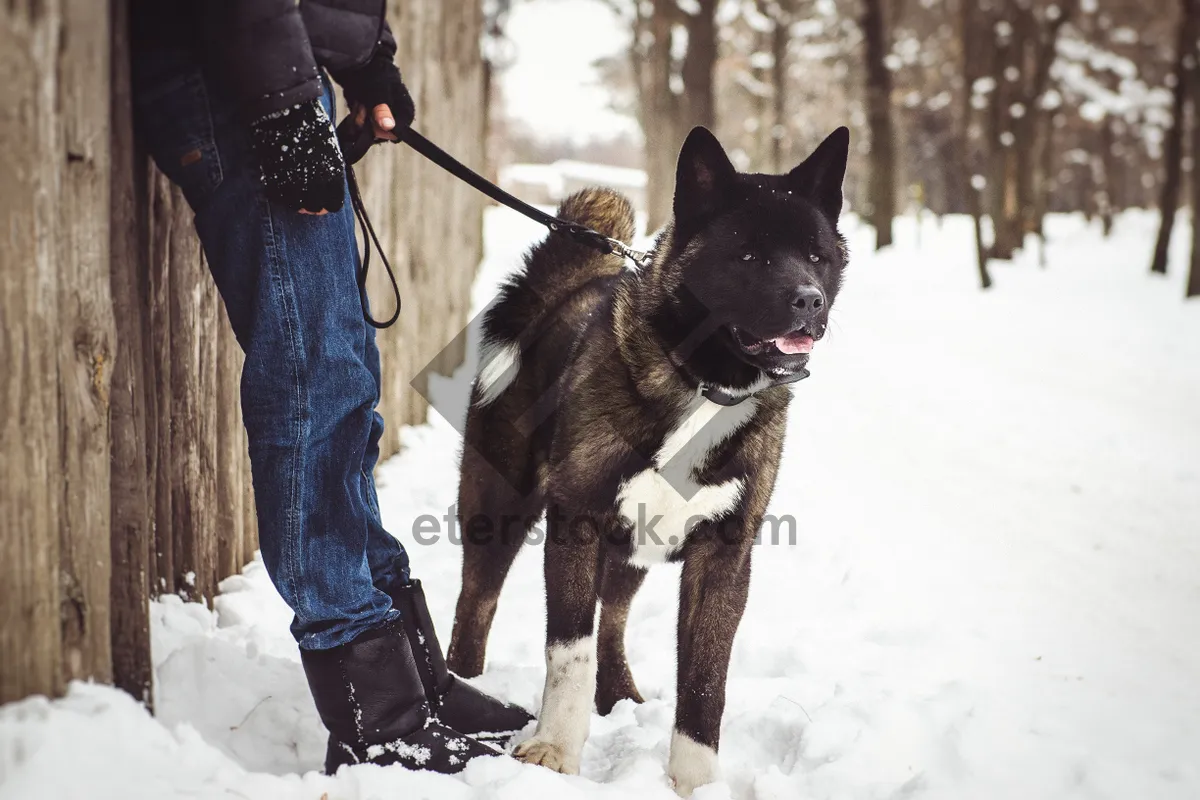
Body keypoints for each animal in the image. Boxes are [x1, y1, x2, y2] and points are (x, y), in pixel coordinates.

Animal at [446, 125, 849, 796]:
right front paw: (556, 749)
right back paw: (464, 684)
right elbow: (569, 650)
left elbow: (705, 679)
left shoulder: (724, 556)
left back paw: (619, 695)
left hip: (632, 548)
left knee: (614, 619)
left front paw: (695, 781)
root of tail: (565, 289)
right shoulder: (578, 524)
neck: (700, 383)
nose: (809, 302)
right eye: (749, 257)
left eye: (816, 256)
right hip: (497, 514)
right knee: (475, 605)